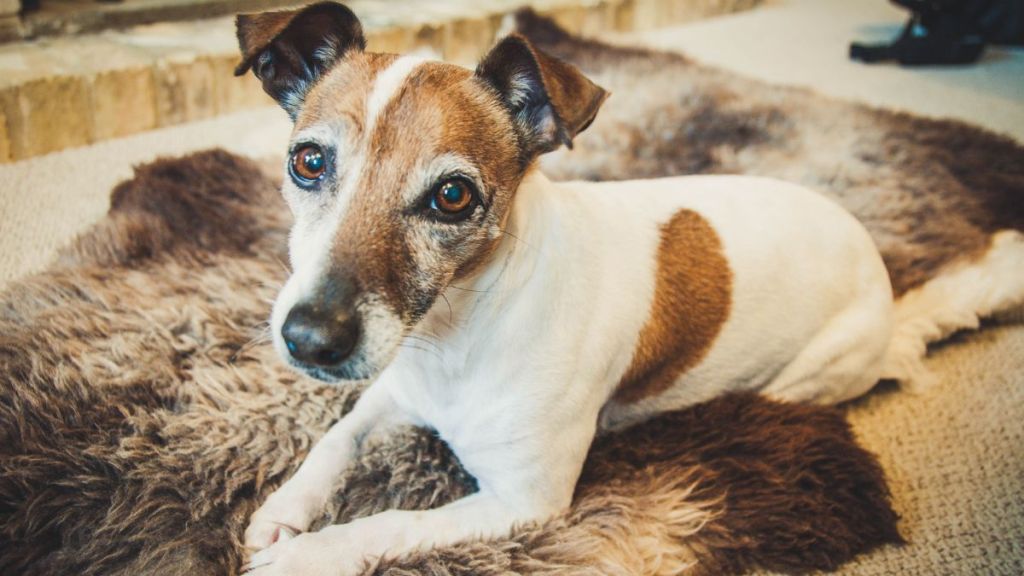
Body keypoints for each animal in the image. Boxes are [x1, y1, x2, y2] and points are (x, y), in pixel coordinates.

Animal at [235, 3, 892, 569]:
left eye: (453, 195)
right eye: (308, 162)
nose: (310, 340)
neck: (455, 335)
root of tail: (865, 241)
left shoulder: (523, 503)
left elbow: (389, 522)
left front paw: (305, 555)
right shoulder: (390, 390)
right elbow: (335, 439)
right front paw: (282, 509)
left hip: (805, 380)